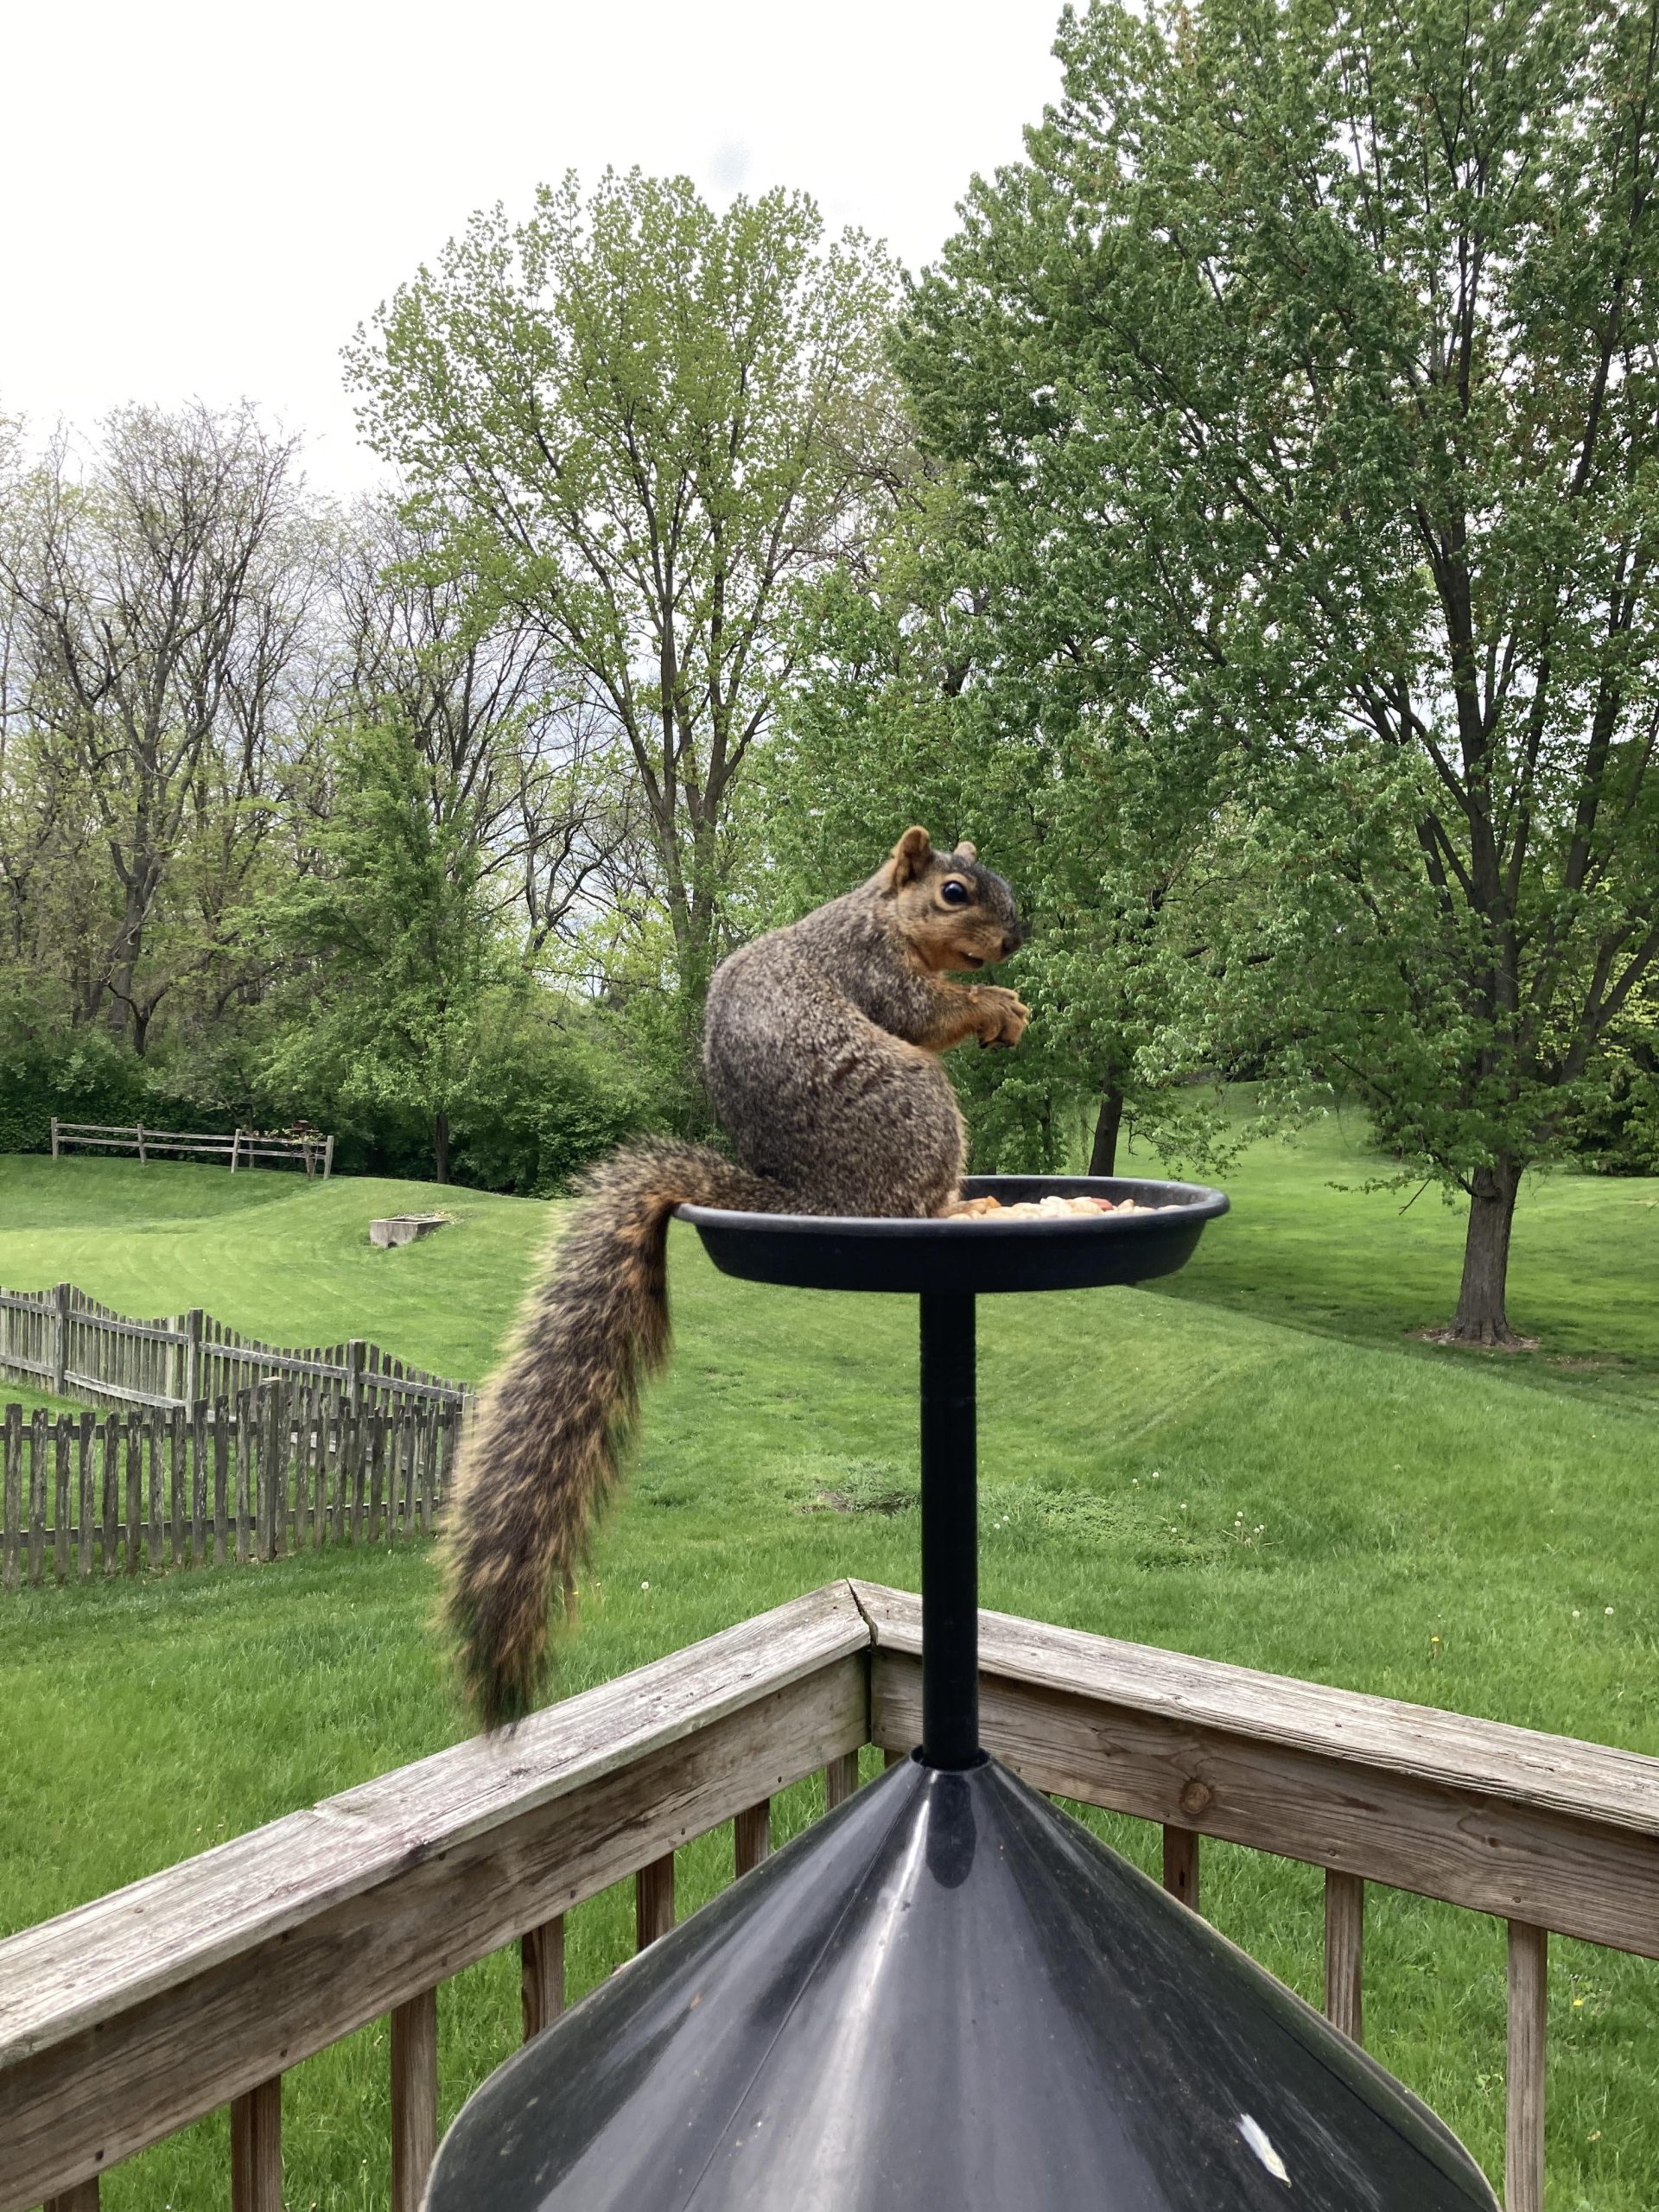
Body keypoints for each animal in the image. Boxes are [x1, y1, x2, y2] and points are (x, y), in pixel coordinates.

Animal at [442, 827, 1028, 1728]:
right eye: (956, 892)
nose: (1015, 940)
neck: (879, 916)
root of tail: (822, 1203)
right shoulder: (871, 971)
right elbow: (924, 1015)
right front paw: (997, 1006)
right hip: (919, 1106)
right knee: (916, 1185)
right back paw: (960, 1206)